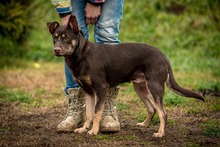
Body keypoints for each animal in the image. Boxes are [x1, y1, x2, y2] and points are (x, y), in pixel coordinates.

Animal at [46, 15, 205, 138]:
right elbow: (89, 113)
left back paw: (160, 133)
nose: (56, 50)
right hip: (140, 88)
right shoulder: (88, 91)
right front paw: (84, 129)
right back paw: (144, 124)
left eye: (66, 38)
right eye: (54, 38)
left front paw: (94, 131)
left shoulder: (101, 88)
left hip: (155, 87)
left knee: (163, 112)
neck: (82, 55)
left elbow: (97, 112)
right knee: (152, 108)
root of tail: (163, 55)